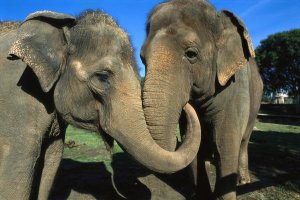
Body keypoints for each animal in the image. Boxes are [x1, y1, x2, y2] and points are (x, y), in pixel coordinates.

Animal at [140, 0, 262, 199]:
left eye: (191, 54)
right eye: (142, 58)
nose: (187, 105)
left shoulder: (236, 87)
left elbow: (225, 143)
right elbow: (195, 147)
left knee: (243, 141)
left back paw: (243, 181)